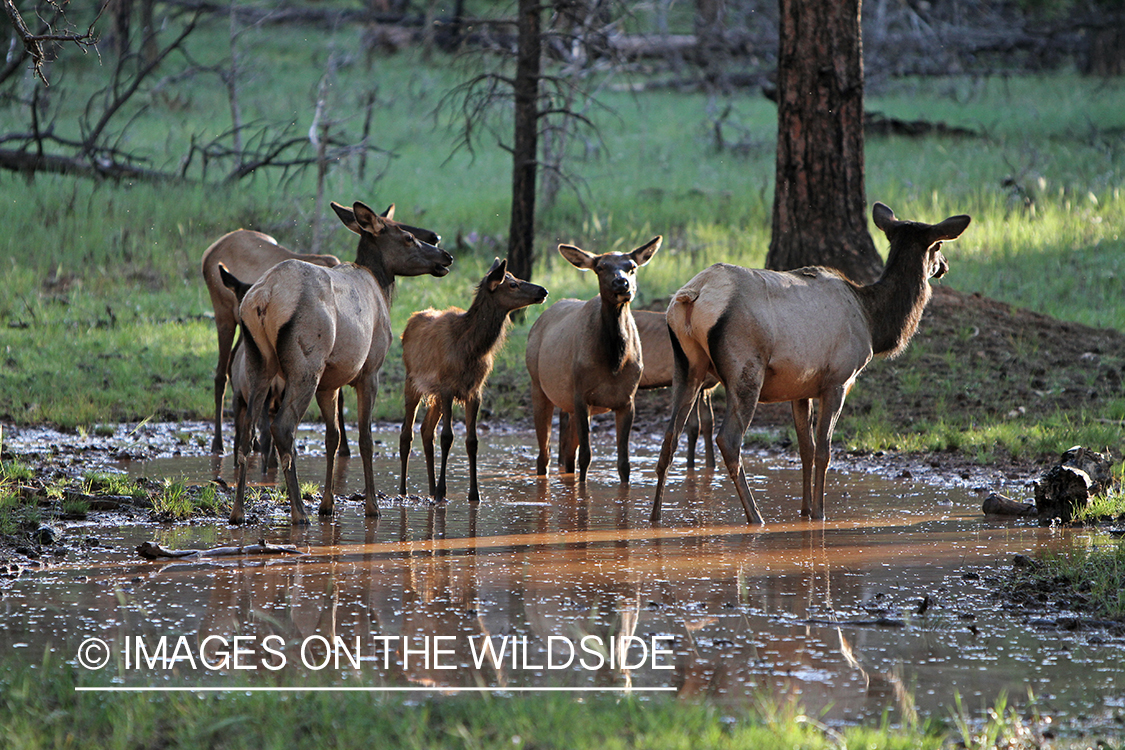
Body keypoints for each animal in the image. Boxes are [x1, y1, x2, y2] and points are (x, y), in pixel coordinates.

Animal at [231, 202, 452, 526]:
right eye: (408, 237)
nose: (445, 255)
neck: (381, 287)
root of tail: (264, 297)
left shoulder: (330, 383)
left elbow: (332, 438)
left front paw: (328, 504)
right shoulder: (370, 370)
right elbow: (365, 439)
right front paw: (372, 506)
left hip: (259, 361)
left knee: (246, 431)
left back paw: (238, 511)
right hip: (306, 363)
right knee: (282, 427)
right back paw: (299, 512)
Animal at [400, 258, 549, 503]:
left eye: (516, 278)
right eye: (512, 284)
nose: (543, 290)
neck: (472, 349)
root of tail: (408, 323)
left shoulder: (474, 391)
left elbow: (472, 441)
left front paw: (474, 493)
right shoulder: (447, 387)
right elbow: (447, 437)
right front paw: (442, 491)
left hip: (434, 394)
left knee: (426, 430)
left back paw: (429, 489)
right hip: (411, 381)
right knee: (406, 433)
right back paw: (404, 490)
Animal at [652, 202, 967, 526]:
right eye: (938, 245)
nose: (944, 266)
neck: (873, 323)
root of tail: (692, 296)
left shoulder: (800, 388)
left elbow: (805, 448)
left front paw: (804, 511)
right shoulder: (838, 380)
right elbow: (823, 451)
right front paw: (819, 513)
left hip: (687, 365)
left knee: (670, 437)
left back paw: (655, 516)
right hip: (745, 368)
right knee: (728, 439)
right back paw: (755, 516)